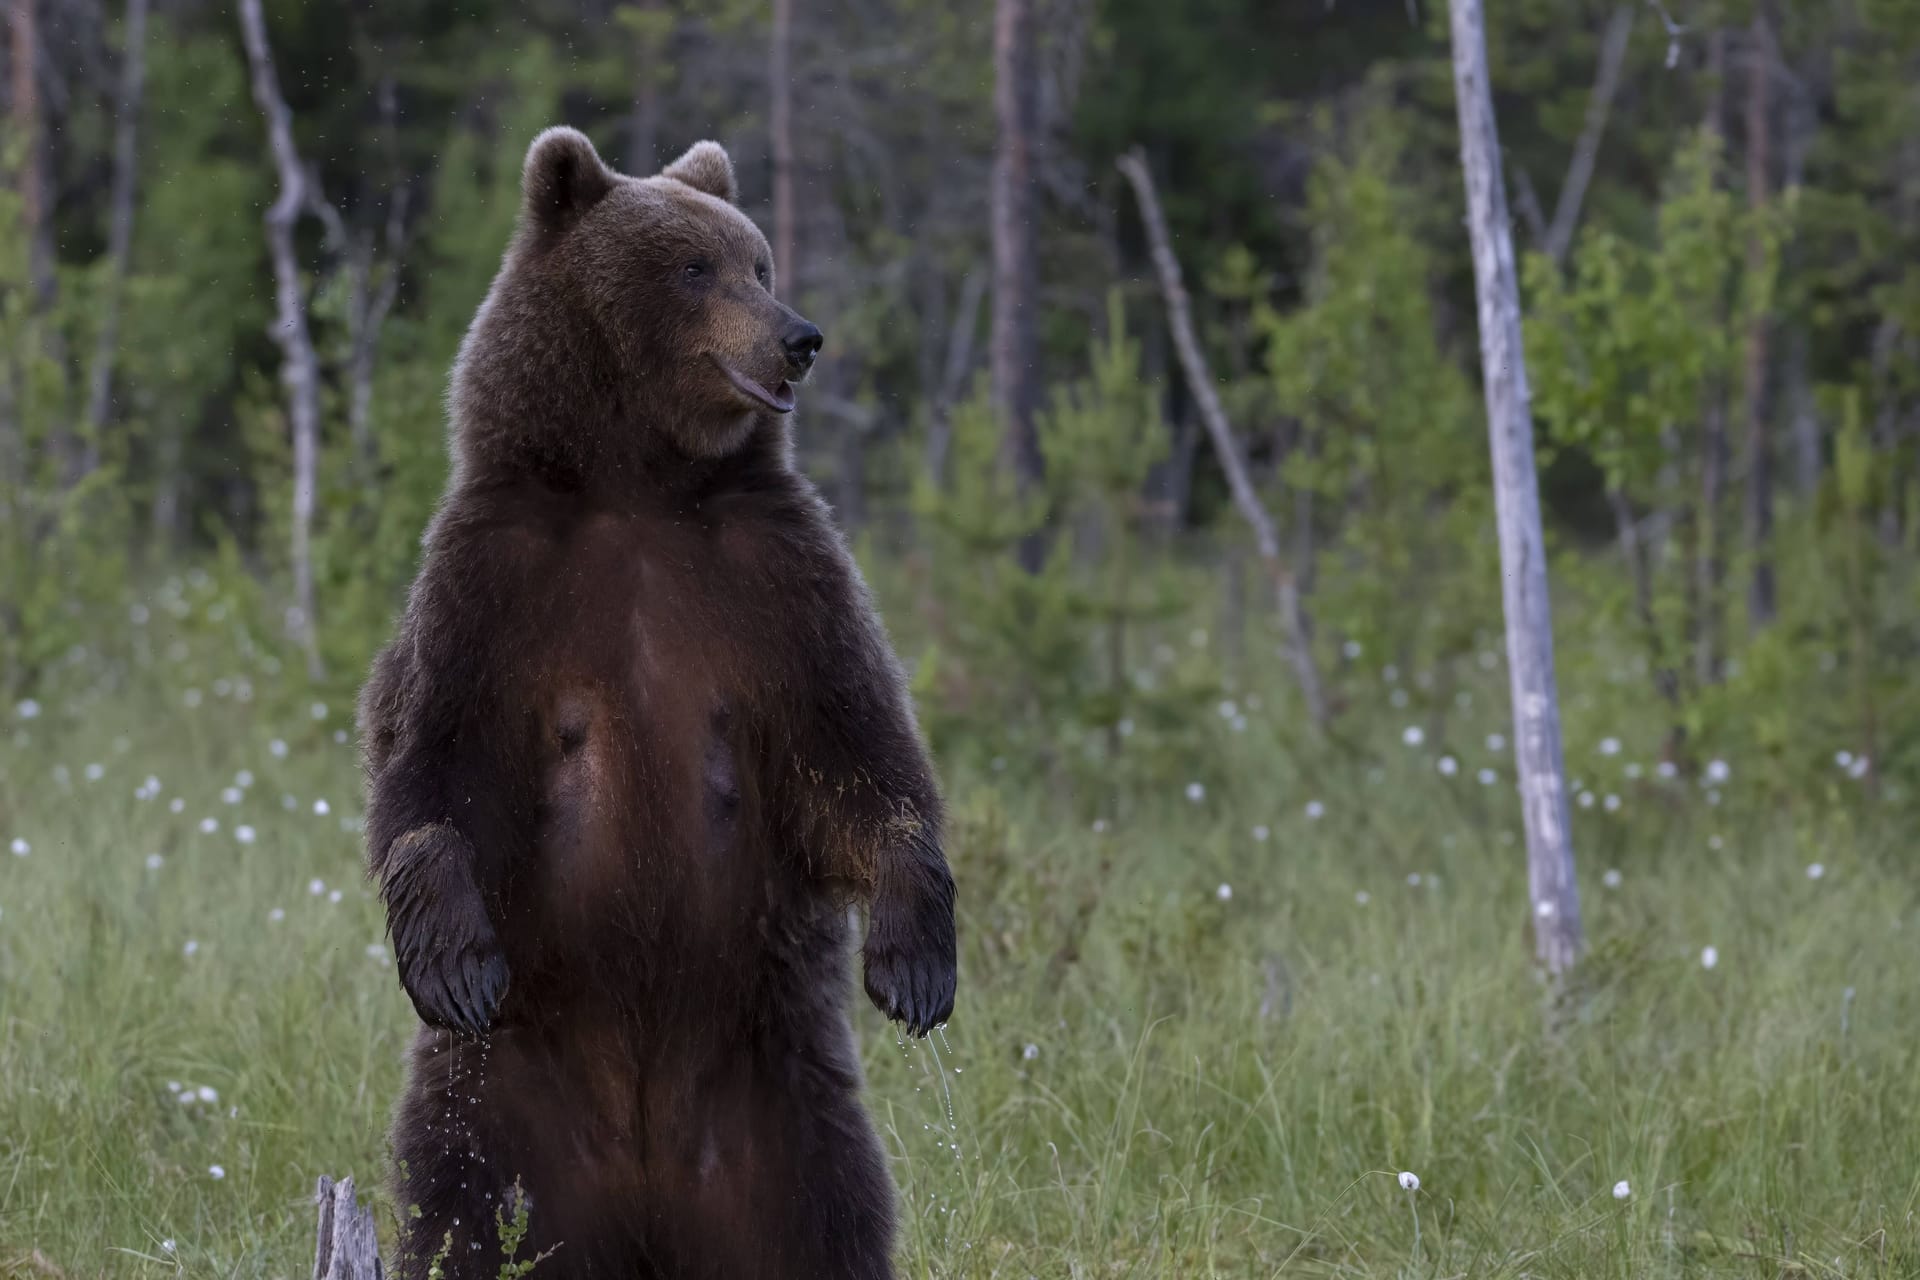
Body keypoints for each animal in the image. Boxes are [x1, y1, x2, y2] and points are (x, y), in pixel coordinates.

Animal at [357, 130, 956, 1280]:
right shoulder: (493, 581)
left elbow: (856, 754)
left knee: (829, 1219)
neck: (636, 481)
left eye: (758, 260)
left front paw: (914, 957)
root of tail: (644, 1199)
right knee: (461, 1211)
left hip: (776, 1109)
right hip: (505, 1105)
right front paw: (451, 961)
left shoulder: (776, 576)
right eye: (694, 266)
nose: (800, 336)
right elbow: (431, 765)